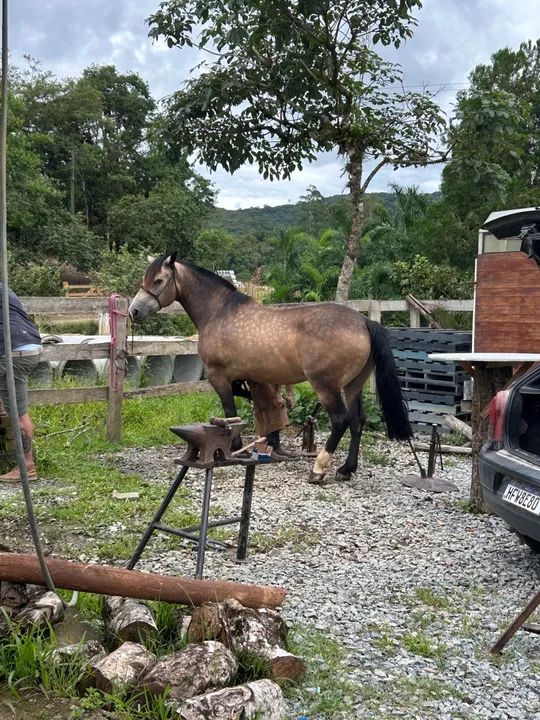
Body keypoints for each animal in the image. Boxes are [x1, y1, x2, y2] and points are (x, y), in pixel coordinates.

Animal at [129, 253, 411, 483]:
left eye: (159, 280)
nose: (134, 311)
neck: (219, 313)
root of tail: (364, 322)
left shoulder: (218, 376)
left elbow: (229, 411)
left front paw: (232, 448)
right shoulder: (245, 377)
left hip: (326, 387)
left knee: (341, 421)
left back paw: (319, 469)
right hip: (353, 386)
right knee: (357, 421)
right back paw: (346, 469)